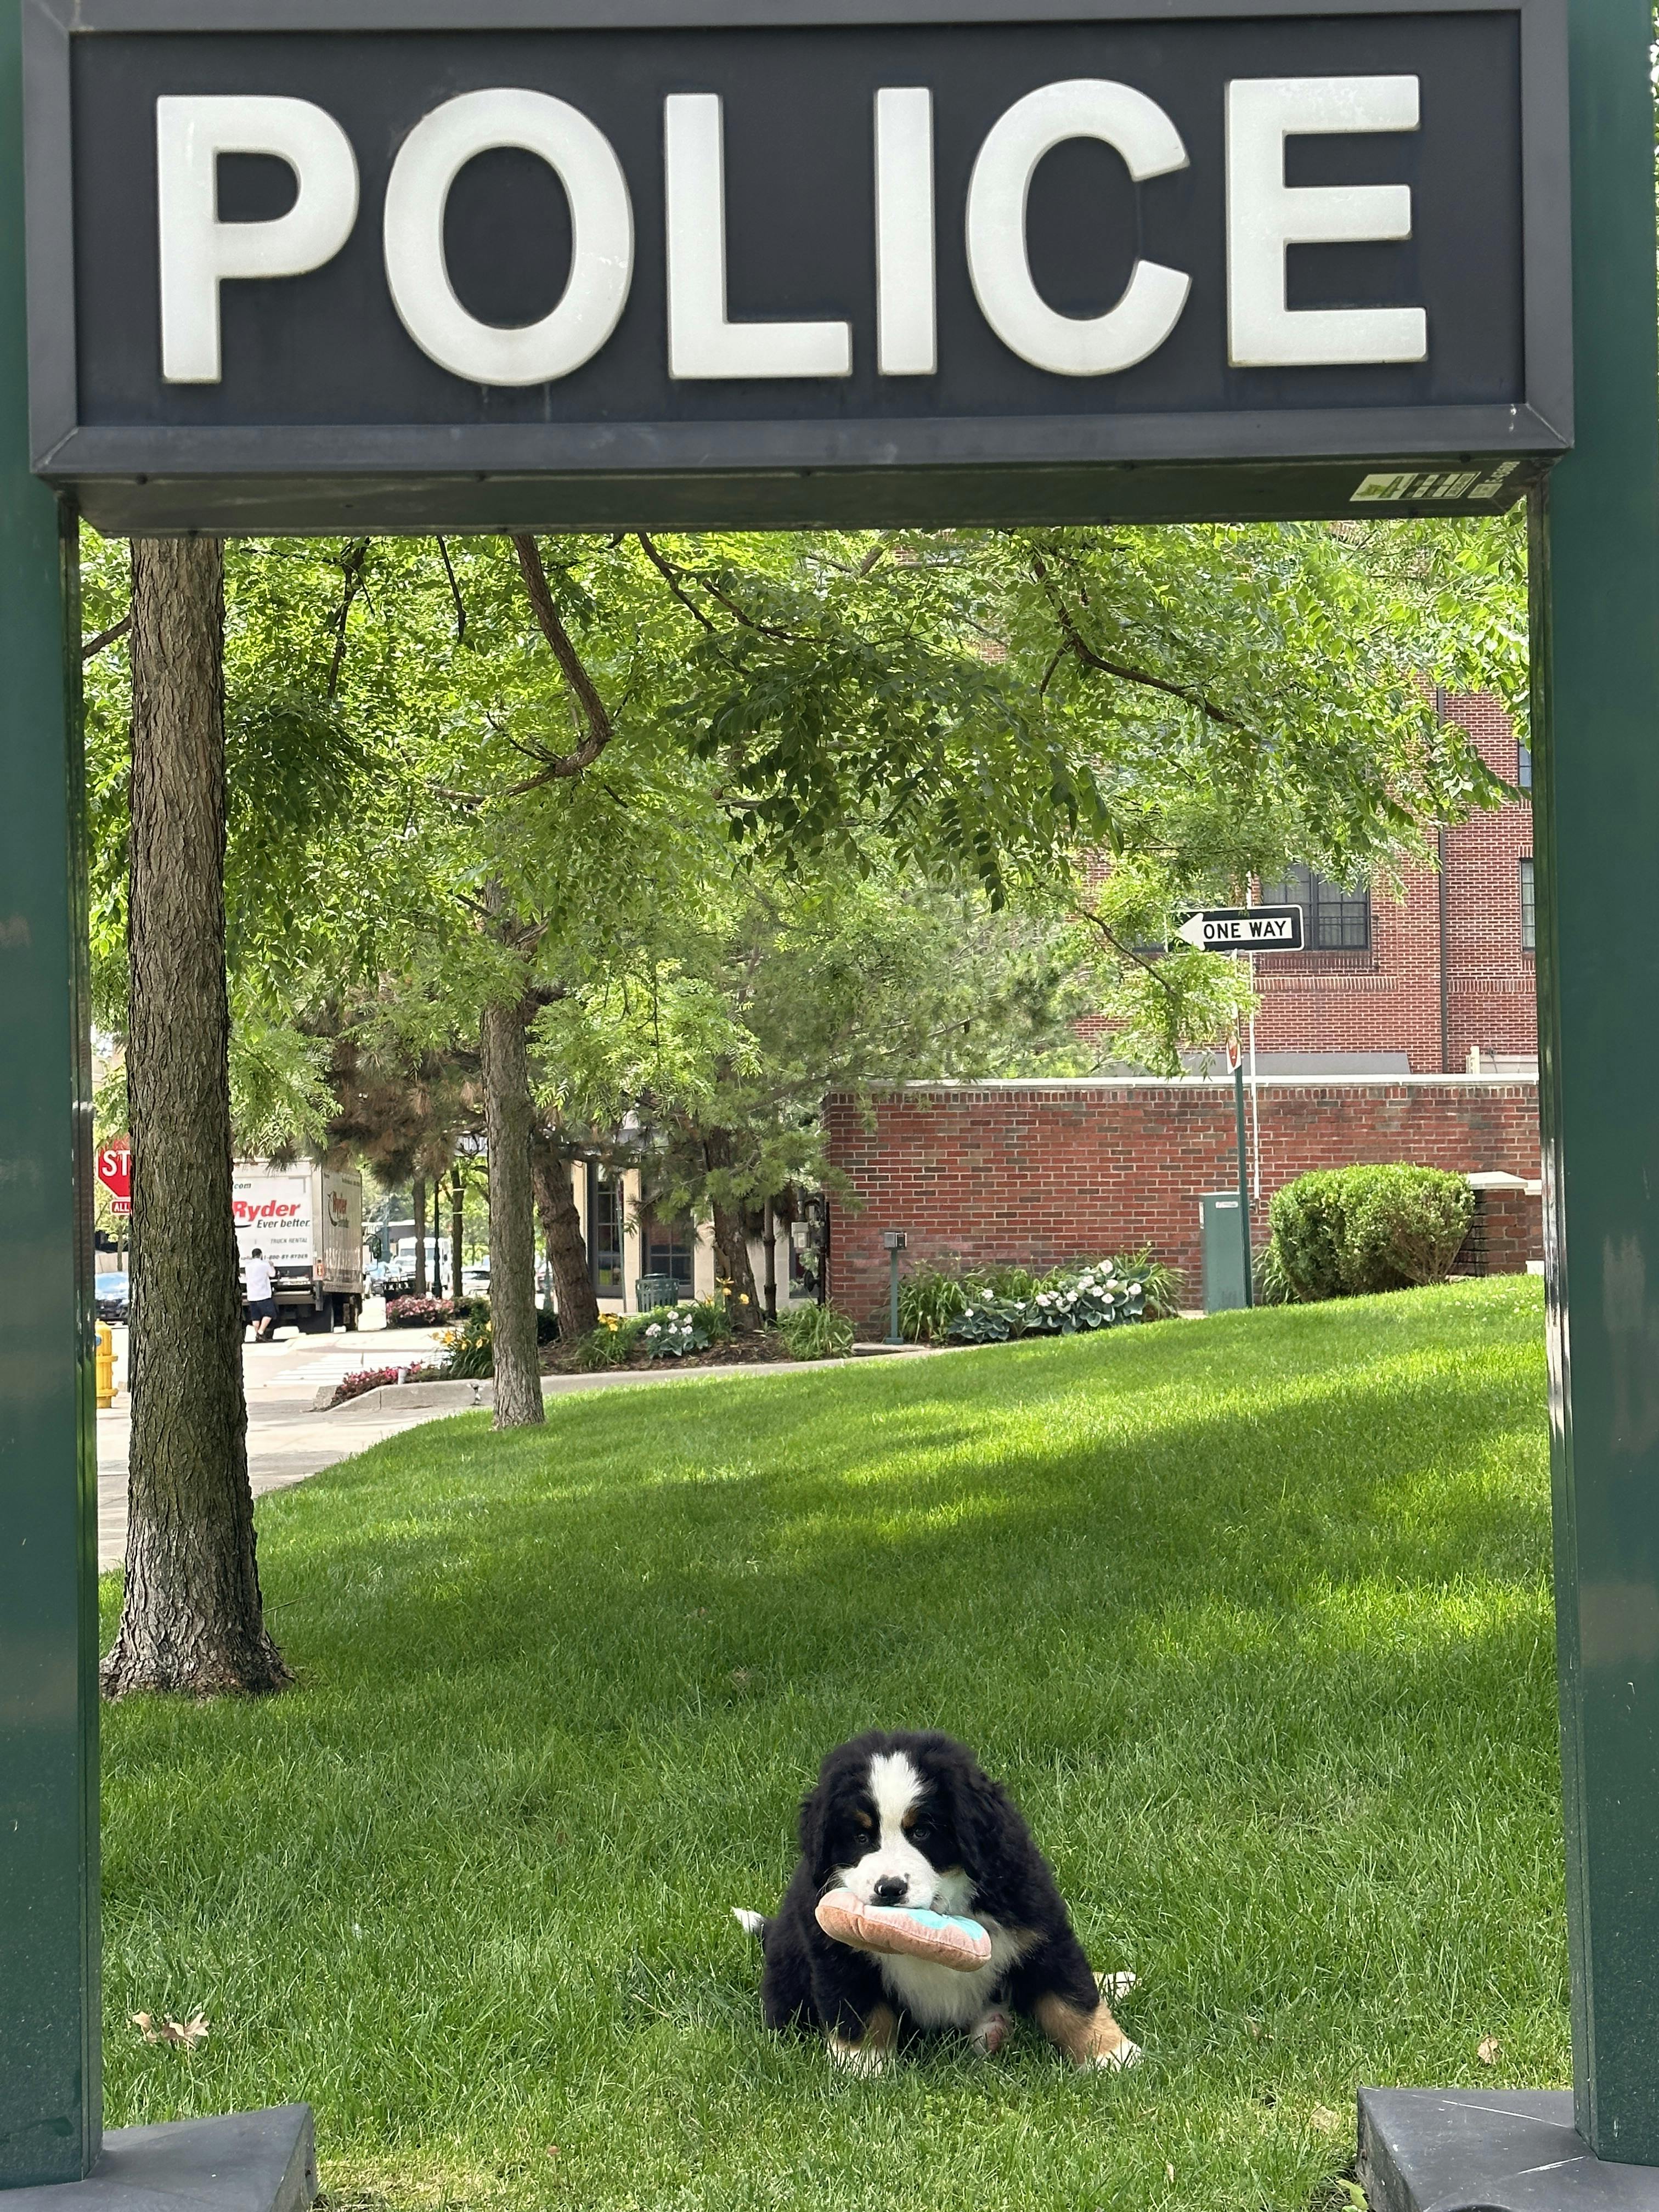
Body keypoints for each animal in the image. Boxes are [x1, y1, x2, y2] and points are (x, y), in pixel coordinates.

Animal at [738, 1725, 1141, 2070]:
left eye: (923, 1832)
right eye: (860, 1837)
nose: (889, 1889)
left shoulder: (1037, 1927)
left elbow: (1071, 1999)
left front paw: (1110, 2055)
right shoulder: (837, 1954)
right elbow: (858, 2012)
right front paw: (864, 2068)